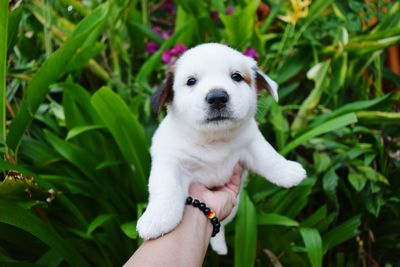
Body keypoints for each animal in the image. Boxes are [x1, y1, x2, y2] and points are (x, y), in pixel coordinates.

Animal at [138, 42, 306, 255]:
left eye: (236, 76)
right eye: (191, 81)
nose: (217, 97)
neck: (214, 140)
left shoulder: (250, 143)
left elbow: (268, 156)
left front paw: (287, 171)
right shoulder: (170, 159)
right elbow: (167, 186)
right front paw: (158, 217)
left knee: (222, 225)